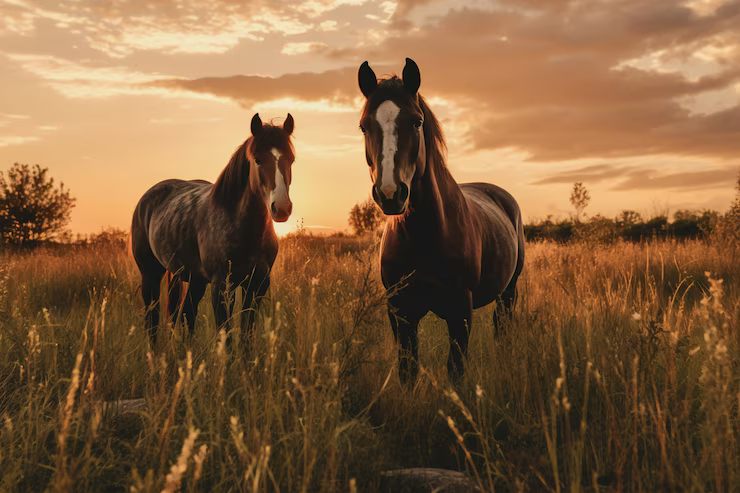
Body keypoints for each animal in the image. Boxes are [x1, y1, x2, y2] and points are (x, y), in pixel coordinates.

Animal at [131, 113, 296, 347]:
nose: (281, 208)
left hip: (195, 279)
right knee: (152, 319)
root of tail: (147, 198)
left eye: (291, 159)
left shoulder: (257, 285)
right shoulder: (221, 287)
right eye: (258, 159)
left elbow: (246, 334)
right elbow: (226, 336)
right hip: (150, 274)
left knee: (186, 314)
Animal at [357, 58, 525, 384]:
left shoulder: (460, 312)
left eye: (416, 122)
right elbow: (408, 370)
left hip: (508, 293)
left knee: (503, 328)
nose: (390, 193)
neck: (424, 235)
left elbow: (455, 371)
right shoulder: (400, 312)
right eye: (363, 126)